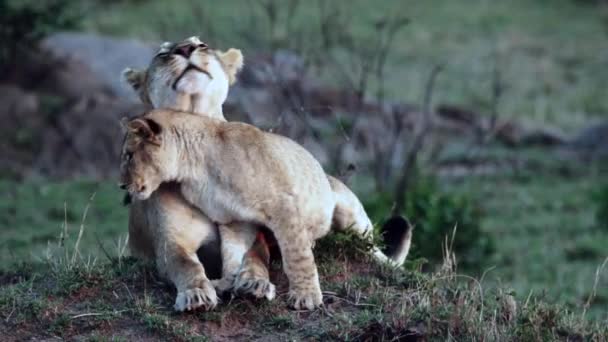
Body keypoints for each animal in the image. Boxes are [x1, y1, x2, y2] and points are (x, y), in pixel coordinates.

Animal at [120, 36, 410, 312]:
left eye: (202, 44)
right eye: (162, 53)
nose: (185, 49)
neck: (193, 167)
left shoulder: (281, 206)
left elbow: (287, 256)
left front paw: (300, 294)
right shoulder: (218, 225)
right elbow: (199, 264)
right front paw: (209, 289)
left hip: (350, 214)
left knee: (372, 245)